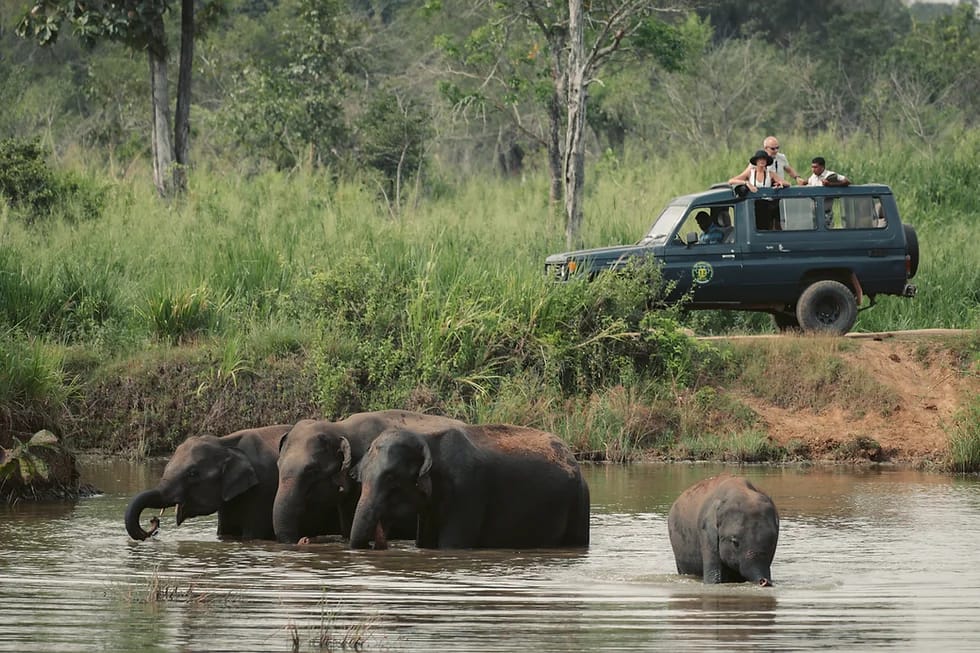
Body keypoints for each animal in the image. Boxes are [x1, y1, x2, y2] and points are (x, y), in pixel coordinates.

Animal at [124, 424, 291, 541]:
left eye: (192, 474)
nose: (154, 521)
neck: (224, 443)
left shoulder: (263, 488)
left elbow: (252, 535)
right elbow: (224, 532)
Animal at [348, 424, 591, 550]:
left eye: (391, 479)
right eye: (360, 479)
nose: (378, 541)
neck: (426, 437)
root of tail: (572, 455)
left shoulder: (468, 490)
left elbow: (452, 545)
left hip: (580, 501)